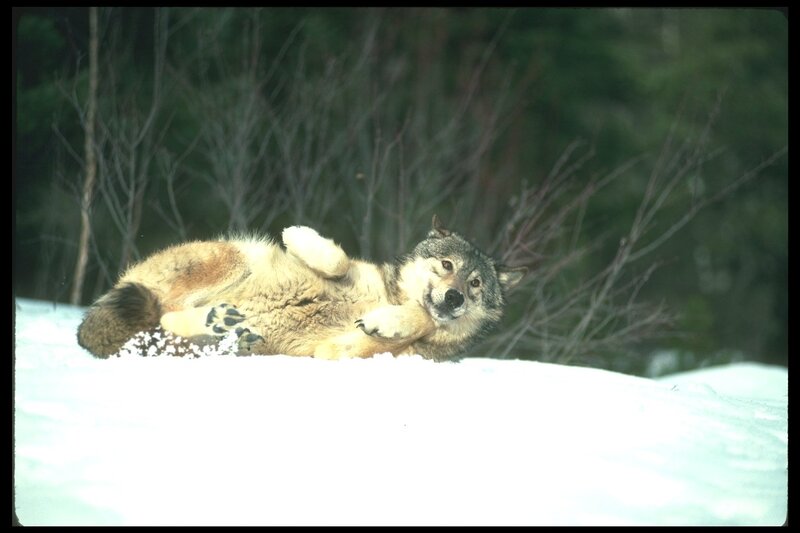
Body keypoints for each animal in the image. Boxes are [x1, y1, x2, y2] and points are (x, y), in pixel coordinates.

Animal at [77, 216, 526, 361]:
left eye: (475, 284)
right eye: (447, 266)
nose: (454, 297)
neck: (388, 295)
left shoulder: (340, 353)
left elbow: (418, 320)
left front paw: (389, 322)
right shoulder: (347, 273)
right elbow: (338, 260)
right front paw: (300, 237)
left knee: (162, 320)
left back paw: (225, 328)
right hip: (237, 256)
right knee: (162, 309)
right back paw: (221, 320)